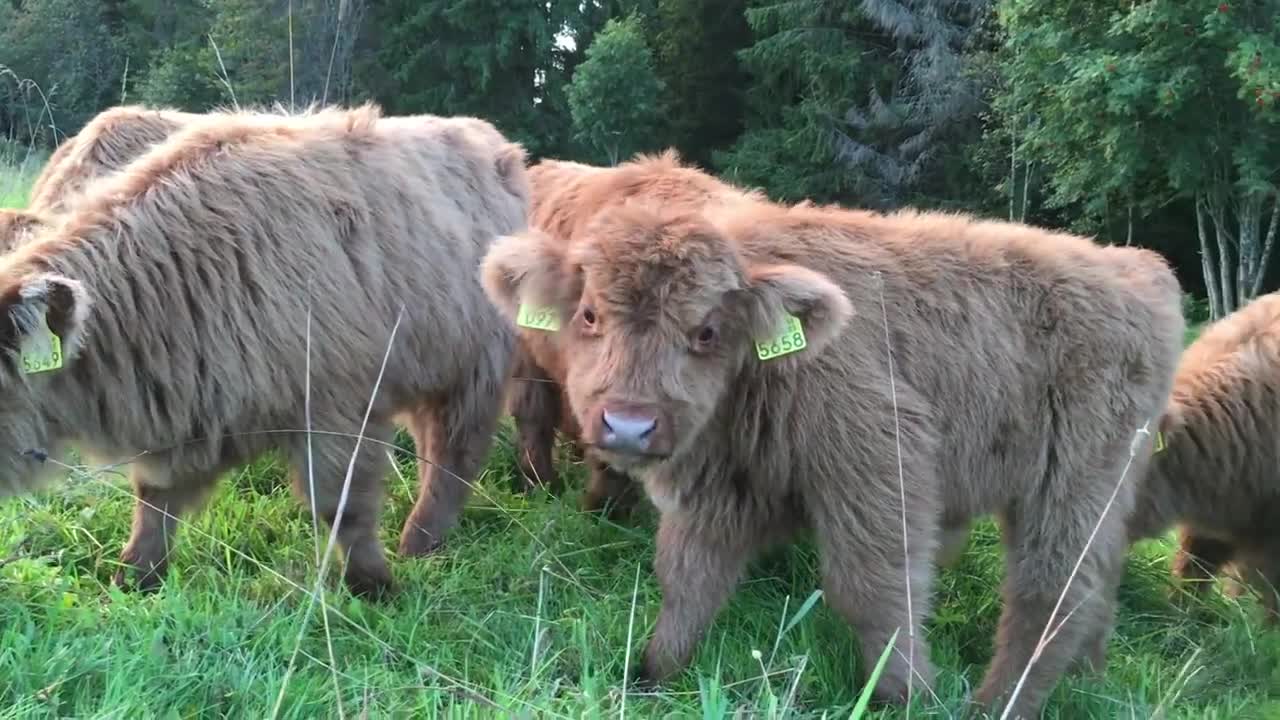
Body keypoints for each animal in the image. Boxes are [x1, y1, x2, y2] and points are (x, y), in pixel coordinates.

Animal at [0, 101, 529, 594]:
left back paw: (421, 541)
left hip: (478, 365)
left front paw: (374, 584)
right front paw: (135, 577)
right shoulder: (185, 409)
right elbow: (154, 501)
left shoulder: (338, 408)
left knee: (454, 451)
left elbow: (341, 505)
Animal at [481, 197, 1187, 717]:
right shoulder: (718, 491)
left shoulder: (879, 466)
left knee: (1052, 594)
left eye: (706, 331)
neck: (761, 371)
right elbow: (687, 578)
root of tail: (1138, 270)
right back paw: (1090, 678)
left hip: (1069, 483)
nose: (629, 426)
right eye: (589, 314)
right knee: (1096, 584)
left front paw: (908, 694)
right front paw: (655, 671)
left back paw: (996, 705)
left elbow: (873, 590)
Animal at [509, 148, 768, 512]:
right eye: (590, 315)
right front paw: (604, 510)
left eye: (706, 333)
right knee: (533, 416)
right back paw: (538, 484)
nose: (629, 427)